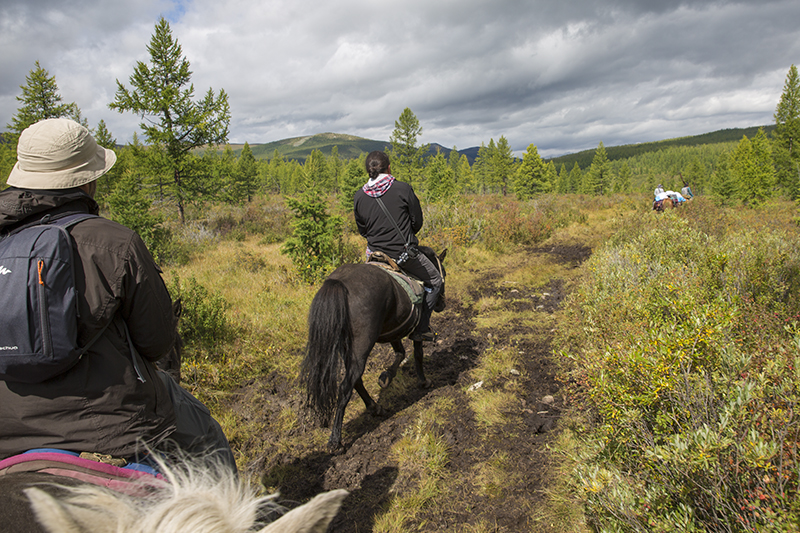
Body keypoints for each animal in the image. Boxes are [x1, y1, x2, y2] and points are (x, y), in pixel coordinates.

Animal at [304, 247, 446, 450]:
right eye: (444, 274)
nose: (442, 304)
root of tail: (339, 282)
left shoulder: (395, 326)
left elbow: (400, 353)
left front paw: (386, 376)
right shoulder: (416, 328)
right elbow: (417, 354)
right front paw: (423, 382)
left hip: (346, 347)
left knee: (355, 380)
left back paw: (375, 407)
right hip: (361, 346)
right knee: (346, 386)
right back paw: (335, 441)